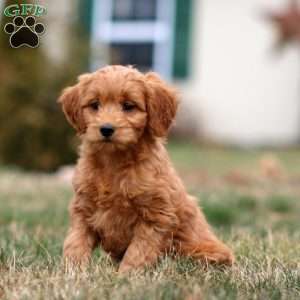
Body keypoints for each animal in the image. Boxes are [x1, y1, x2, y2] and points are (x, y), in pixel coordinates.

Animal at [59, 65, 234, 272]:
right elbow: (75, 241)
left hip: (206, 253)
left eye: (128, 106)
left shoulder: (155, 216)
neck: (114, 162)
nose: (106, 129)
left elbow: (138, 251)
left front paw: (125, 275)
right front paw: (73, 271)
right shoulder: (83, 208)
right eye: (95, 105)